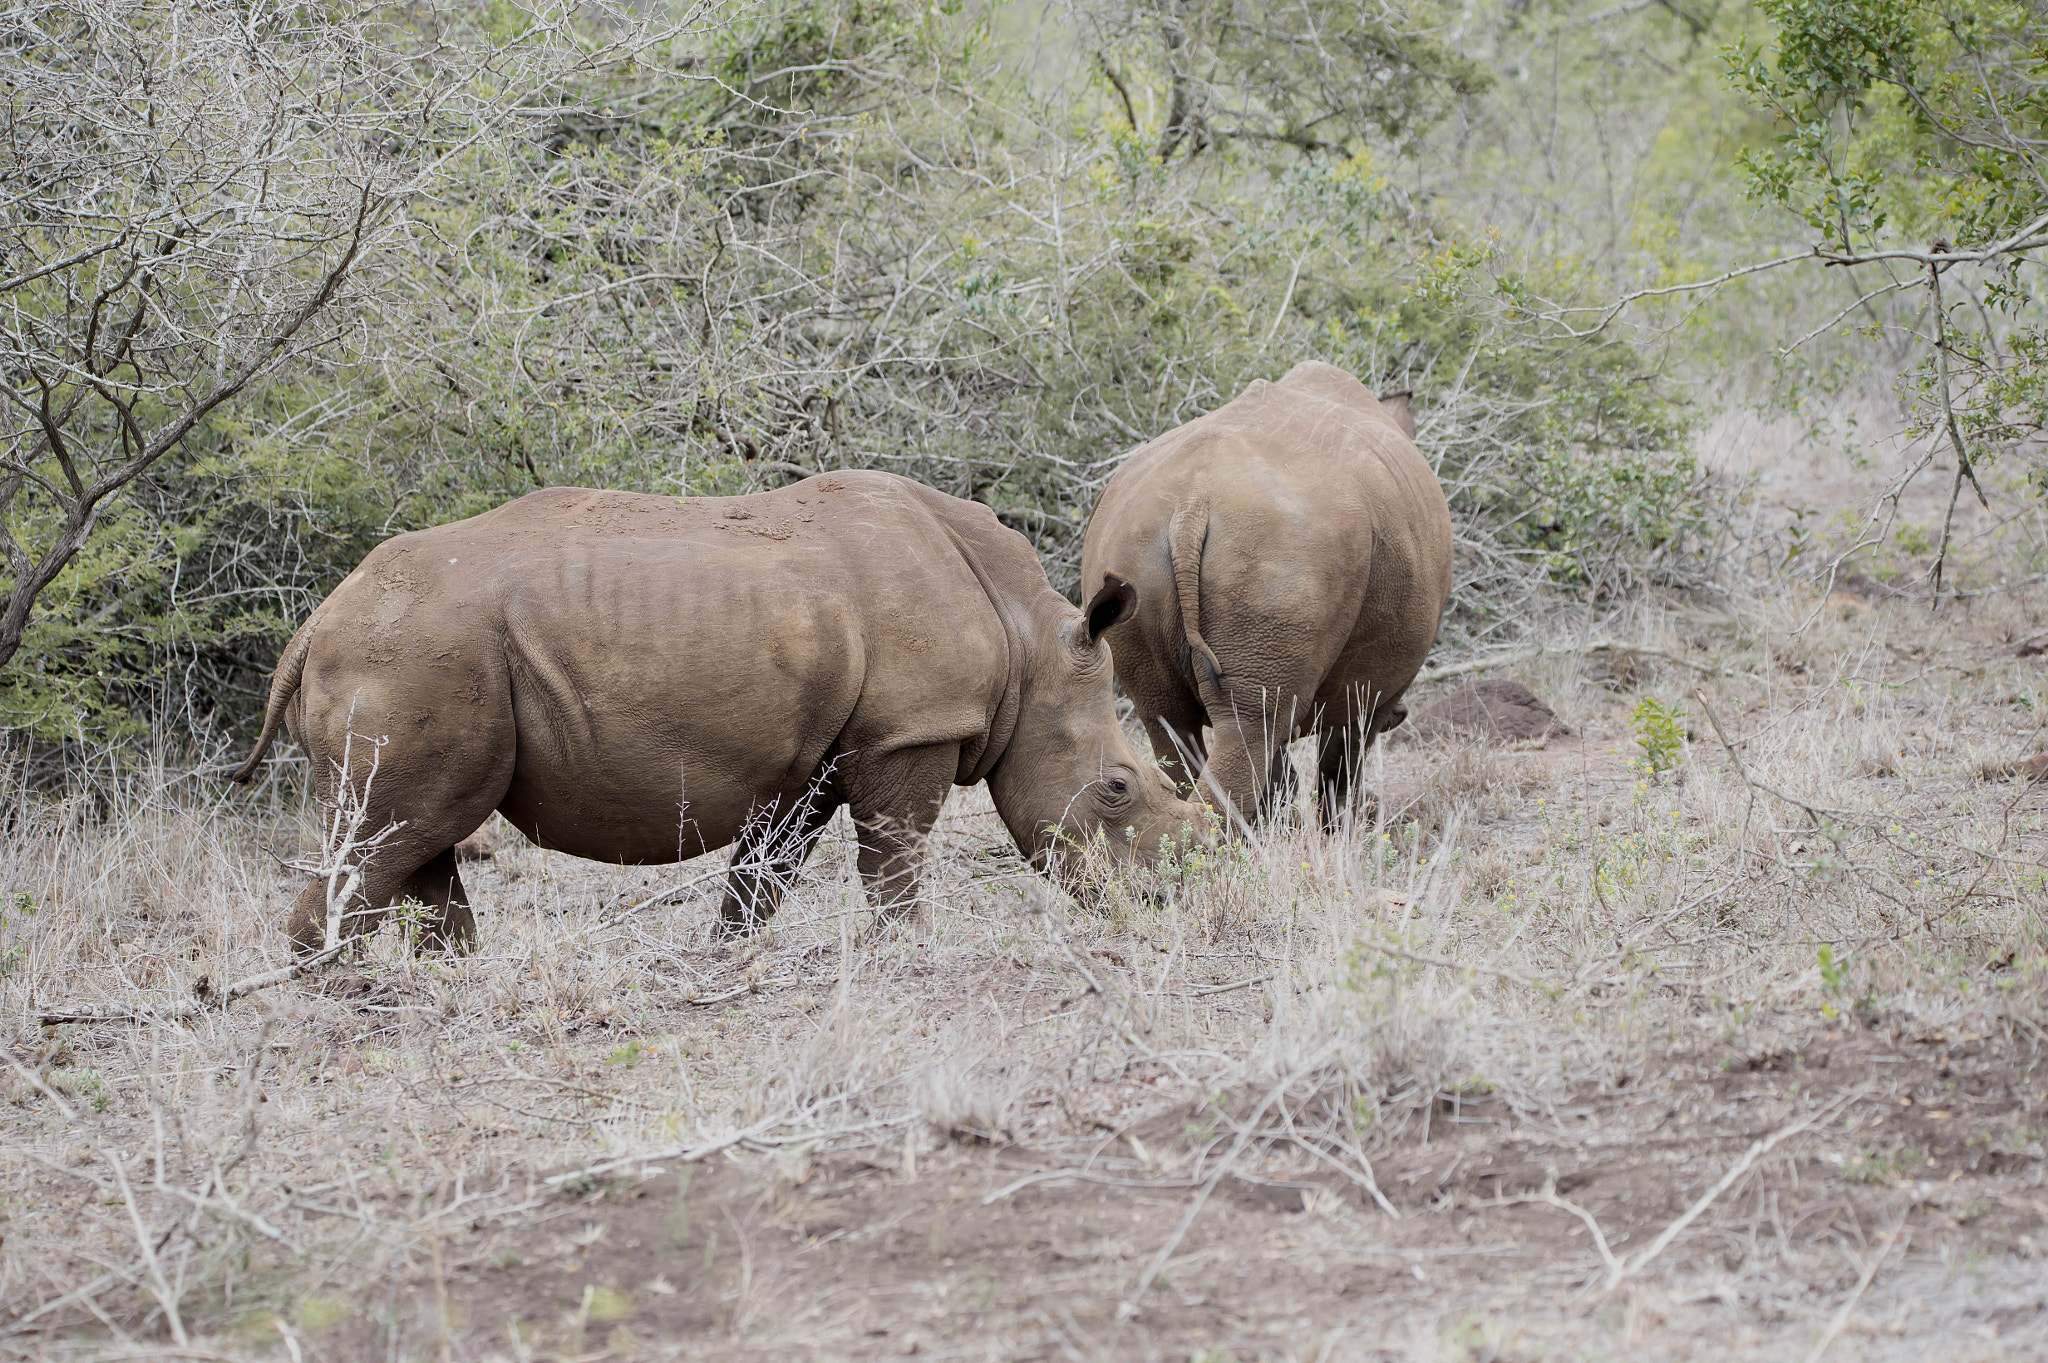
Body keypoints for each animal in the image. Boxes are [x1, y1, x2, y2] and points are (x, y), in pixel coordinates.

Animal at [231, 471, 1206, 952]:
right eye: (1119, 789)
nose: (1163, 899)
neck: (1029, 643)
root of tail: (316, 623)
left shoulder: (817, 757)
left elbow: (764, 870)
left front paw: (724, 956)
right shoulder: (912, 728)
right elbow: (895, 856)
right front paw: (910, 952)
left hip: (417, 654)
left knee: (417, 831)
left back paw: (452, 976)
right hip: (411, 651)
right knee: (389, 834)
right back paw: (350, 987)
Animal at [1079, 361, 1453, 827]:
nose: (1402, 718)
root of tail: (1191, 505)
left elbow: (1281, 765)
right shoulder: (1374, 687)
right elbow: (1342, 755)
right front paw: (1338, 829)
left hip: (1128, 550)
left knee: (1172, 720)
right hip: (1284, 548)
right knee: (1250, 727)